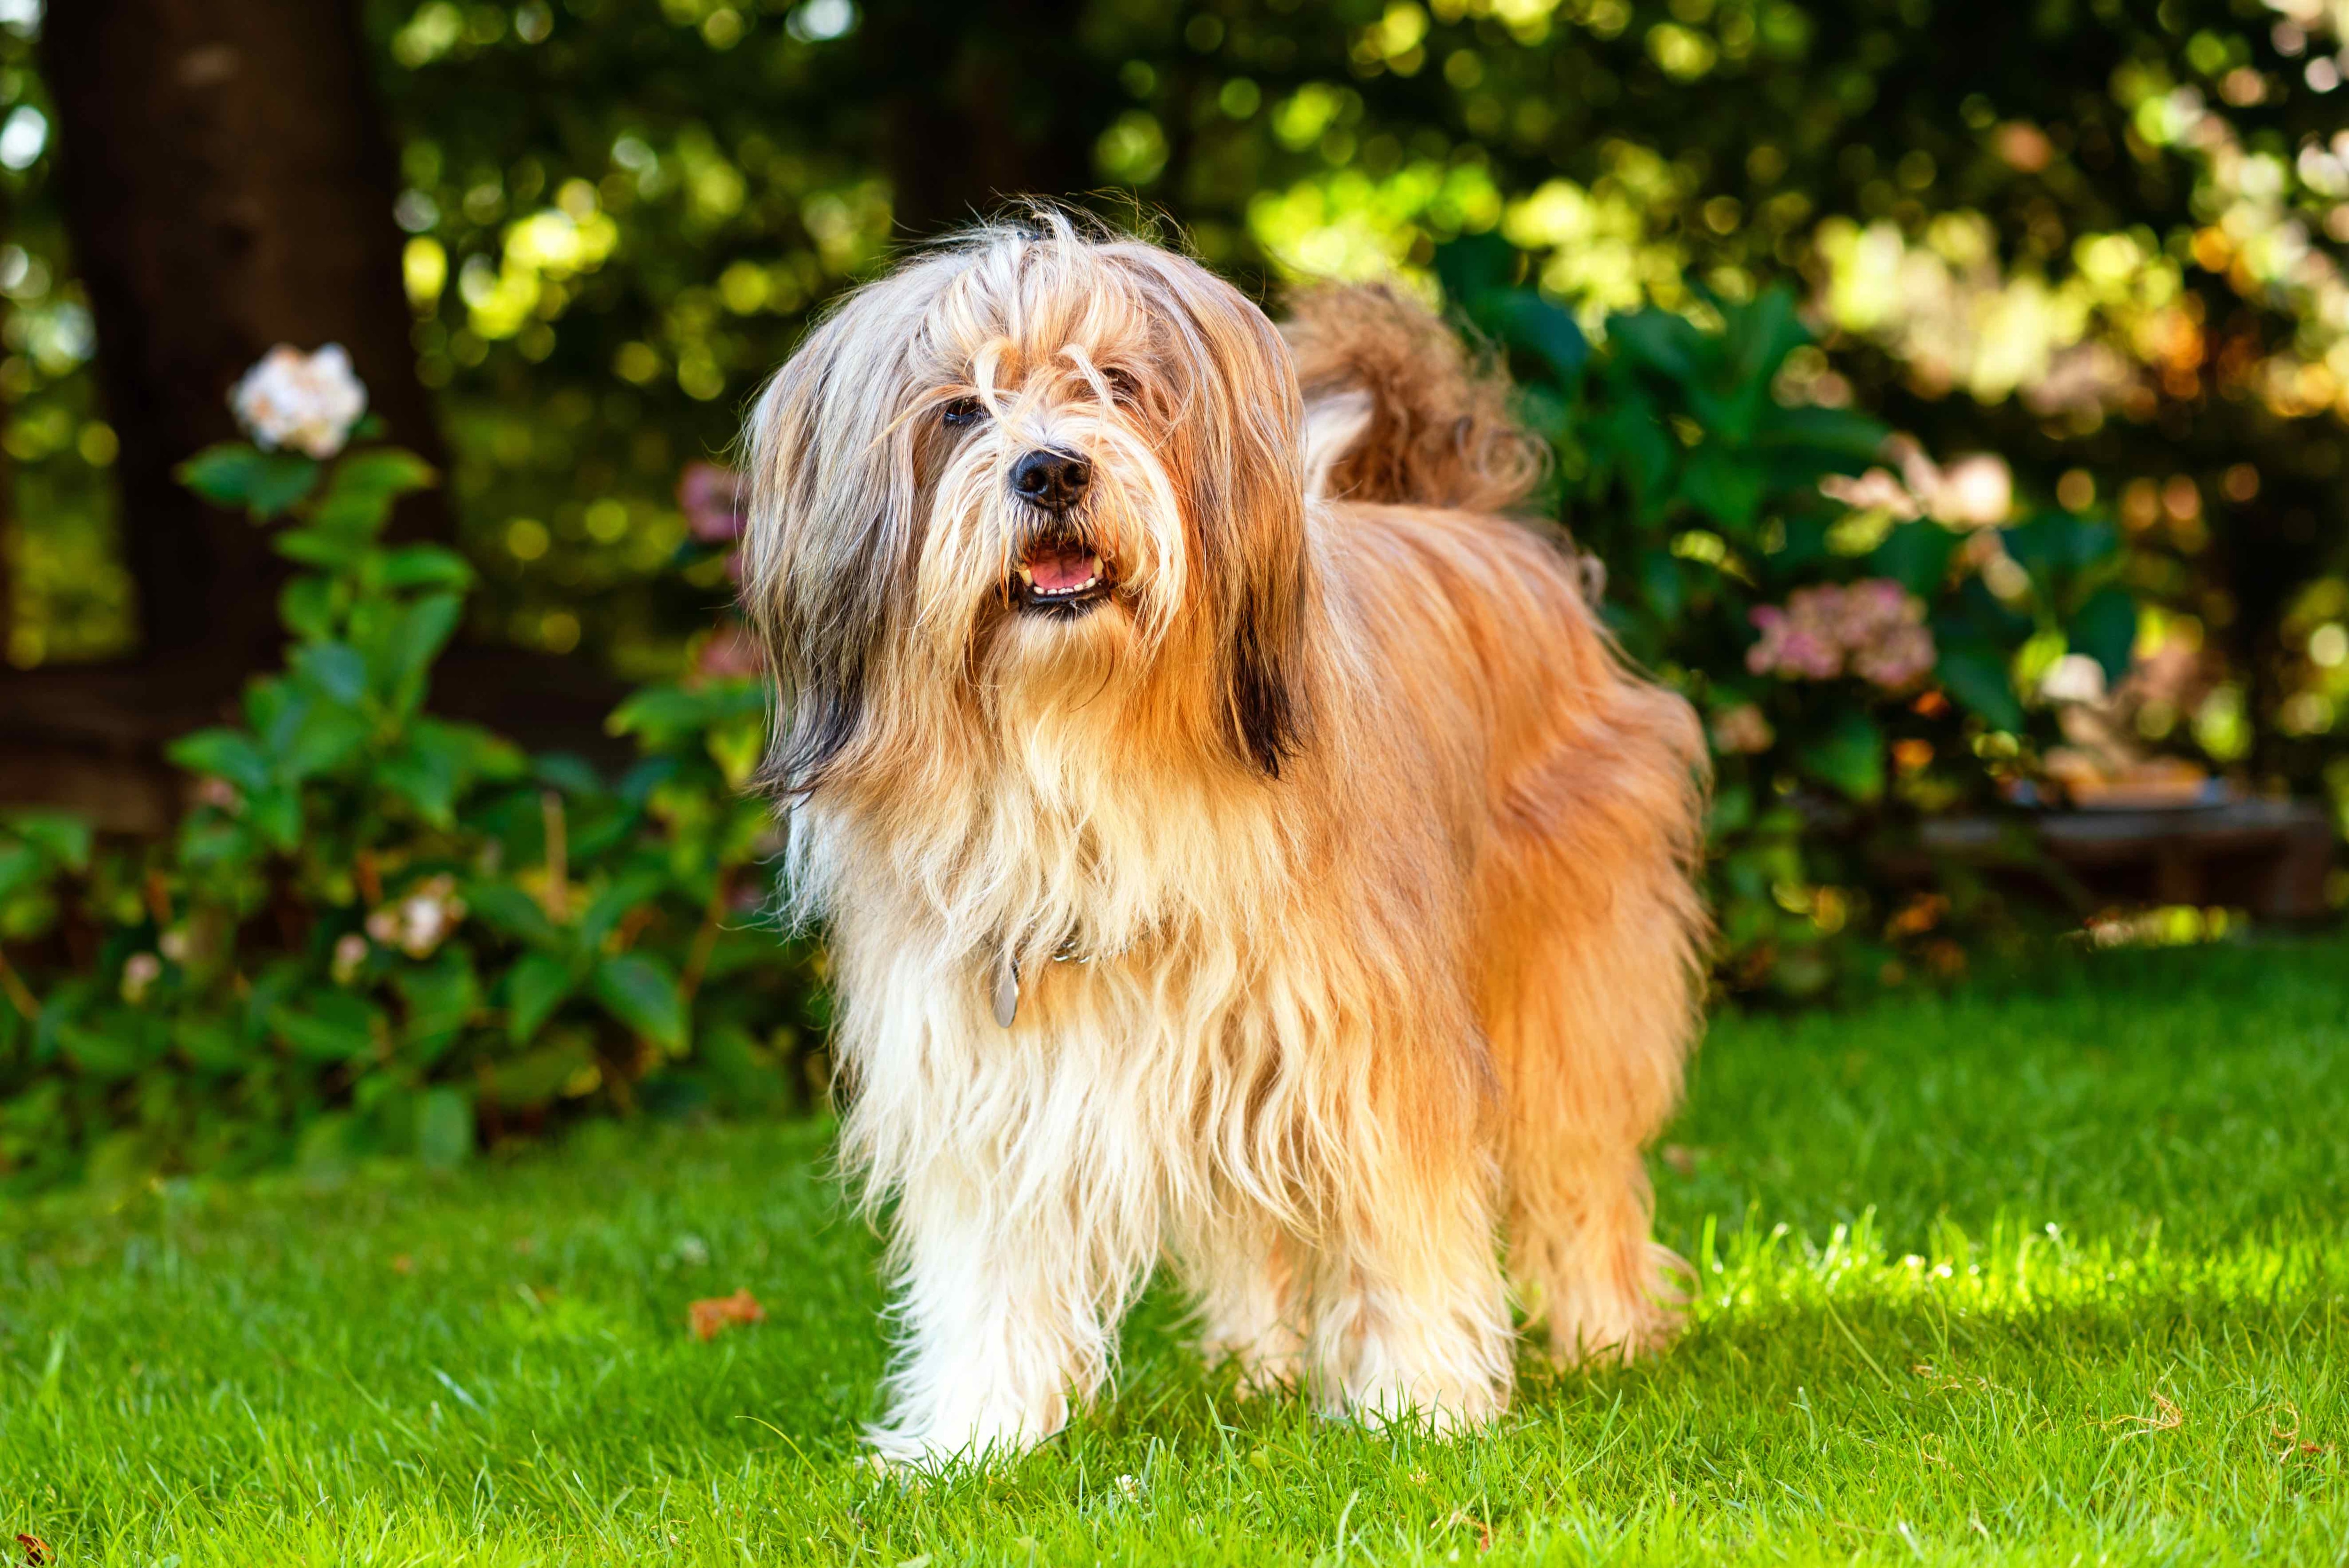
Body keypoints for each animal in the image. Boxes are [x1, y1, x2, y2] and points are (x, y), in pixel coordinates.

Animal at [747, 215, 1710, 1465]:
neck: (1088, 747)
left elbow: (1401, 1221)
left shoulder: (1364, 1039)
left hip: (1567, 970)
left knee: (1579, 1165)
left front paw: (1417, 1404)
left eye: (1115, 383)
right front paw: (978, 1435)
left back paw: (1607, 1334)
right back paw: (1256, 1368)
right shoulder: (991, 1064)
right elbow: (994, 1267)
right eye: (958, 408)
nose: (1050, 470)